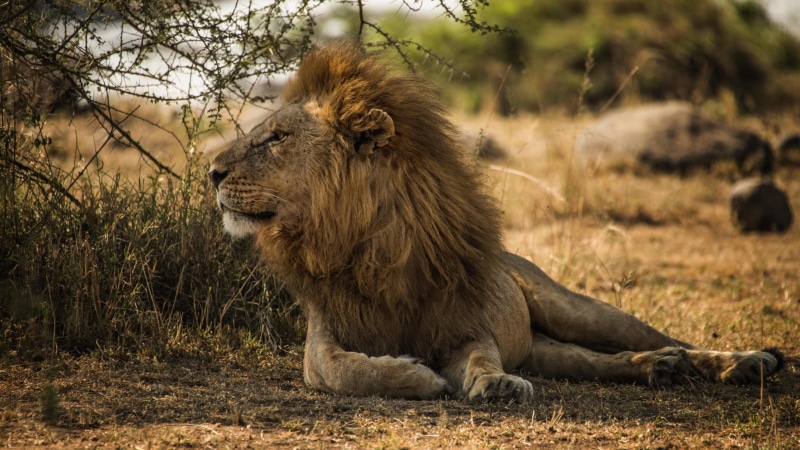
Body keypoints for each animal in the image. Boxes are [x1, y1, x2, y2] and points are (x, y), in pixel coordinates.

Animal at [209, 41, 784, 402]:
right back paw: (657, 368)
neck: (367, 242)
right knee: (593, 360)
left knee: (661, 336)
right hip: (543, 350)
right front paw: (417, 377)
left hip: (578, 308)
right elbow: (346, 370)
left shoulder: (463, 321)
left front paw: (494, 385)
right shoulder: (321, 339)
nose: (211, 172)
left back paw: (746, 362)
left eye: (275, 138)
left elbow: (481, 357)